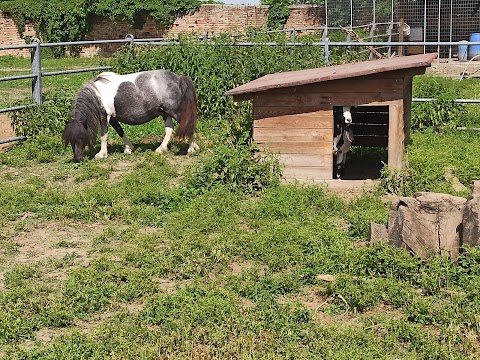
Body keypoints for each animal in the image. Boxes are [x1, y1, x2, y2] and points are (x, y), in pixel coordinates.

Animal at [62, 69, 199, 162]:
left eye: (81, 137)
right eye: (70, 140)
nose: (77, 159)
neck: (97, 94)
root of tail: (178, 78)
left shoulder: (105, 116)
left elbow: (104, 135)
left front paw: (102, 154)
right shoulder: (113, 119)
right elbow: (120, 131)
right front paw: (129, 148)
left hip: (175, 112)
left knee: (188, 125)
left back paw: (191, 149)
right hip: (164, 113)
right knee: (170, 129)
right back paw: (162, 149)